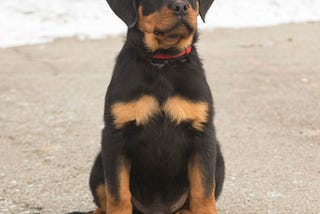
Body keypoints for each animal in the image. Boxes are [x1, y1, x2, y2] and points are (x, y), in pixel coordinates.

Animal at [87, 0, 225, 214]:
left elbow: (203, 191)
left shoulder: (203, 134)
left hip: (218, 158)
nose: (181, 7)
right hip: (98, 165)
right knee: (104, 199)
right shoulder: (114, 134)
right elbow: (117, 194)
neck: (163, 63)